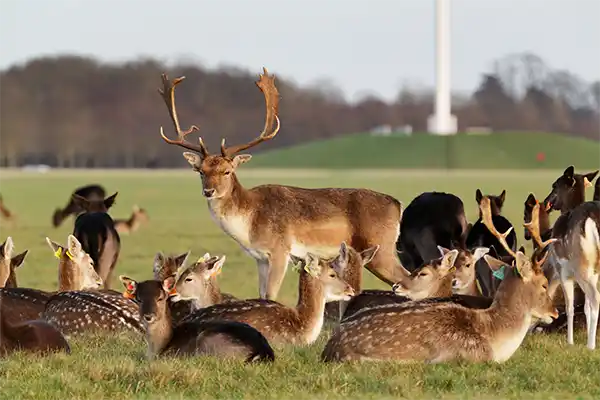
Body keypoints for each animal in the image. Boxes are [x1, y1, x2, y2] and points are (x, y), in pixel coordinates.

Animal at [156, 68, 406, 300]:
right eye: (200, 171)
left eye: (227, 171)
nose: (209, 191)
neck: (250, 223)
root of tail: (397, 205)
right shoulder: (259, 258)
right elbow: (261, 294)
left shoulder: (280, 250)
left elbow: (271, 295)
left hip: (381, 248)